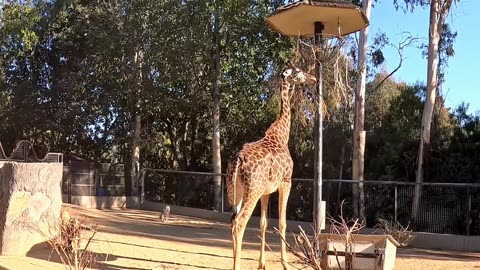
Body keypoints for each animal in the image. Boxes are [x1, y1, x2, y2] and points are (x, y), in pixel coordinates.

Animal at [226, 66, 316, 270]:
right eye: (298, 71)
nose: (314, 78)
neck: (282, 135)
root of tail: (238, 161)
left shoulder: (266, 192)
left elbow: (263, 223)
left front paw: (262, 264)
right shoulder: (286, 182)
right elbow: (282, 223)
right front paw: (286, 265)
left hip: (235, 192)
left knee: (232, 221)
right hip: (252, 191)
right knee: (239, 222)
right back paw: (236, 266)